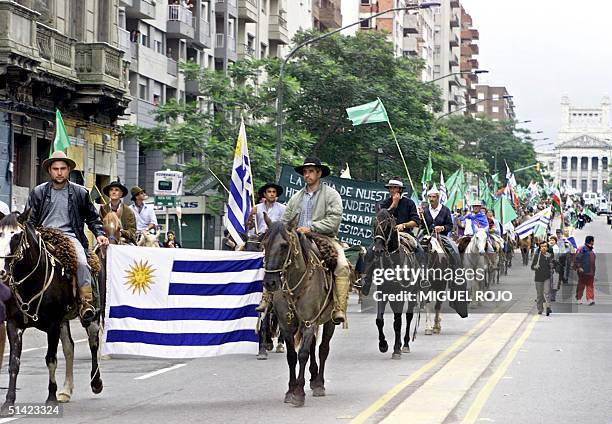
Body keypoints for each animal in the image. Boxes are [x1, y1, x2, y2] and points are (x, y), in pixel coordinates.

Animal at [0, 210, 103, 412]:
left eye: (16, 235)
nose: (1, 270)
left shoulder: (53, 325)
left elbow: (51, 360)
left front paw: (51, 397)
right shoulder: (13, 324)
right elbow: (14, 363)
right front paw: (8, 401)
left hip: (91, 315)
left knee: (93, 342)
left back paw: (96, 383)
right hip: (64, 320)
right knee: (69, 347)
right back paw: (66, 390)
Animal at [262, 217, 338, 406]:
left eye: (284, 245)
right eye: (264, 244)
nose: (270, 282)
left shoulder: (309, 322)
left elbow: (303, 354)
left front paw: (299, 393)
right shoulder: (286, 326)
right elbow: (292, 356)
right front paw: (290, 390)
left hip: (329, 320)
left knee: (323, 349)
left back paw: (319, 384)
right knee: (312, 346)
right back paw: (313, 378)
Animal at [360, 209, 418, 358]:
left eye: (387, 225)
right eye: (374, 224)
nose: (378, 250)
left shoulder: (400, 295)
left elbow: (398, 322)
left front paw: (396, 349)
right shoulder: (382, 293)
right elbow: (379, 320)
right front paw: (383, 345)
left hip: (412, 294)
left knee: (408, 316)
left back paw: (405, 344)